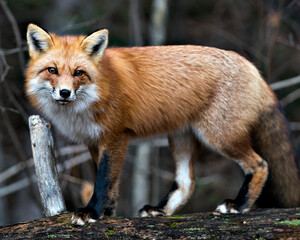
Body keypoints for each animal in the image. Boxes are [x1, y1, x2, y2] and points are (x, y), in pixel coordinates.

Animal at [25, 23, 300, 225]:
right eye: (52, 70)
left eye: (79, 73)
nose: (64, 93)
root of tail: (252, 67)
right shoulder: (94, 141)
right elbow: (111, 181)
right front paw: (107, 211)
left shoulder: (116, 136)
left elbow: (103, 179)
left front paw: (91, 212)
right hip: (181, 138)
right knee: (187, 183)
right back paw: (159, 209)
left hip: (220, 137)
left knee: (260, 164)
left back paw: (239, 205)